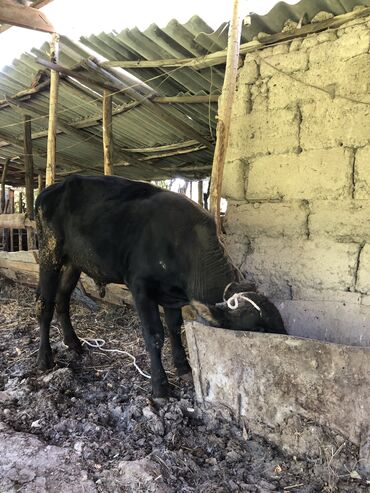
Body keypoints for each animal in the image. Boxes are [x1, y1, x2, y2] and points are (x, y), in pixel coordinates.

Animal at [35, 176, 286, 400]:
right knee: (44, 304)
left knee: (62, 300)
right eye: (259, 330)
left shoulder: (171, 296)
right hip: (50, 254)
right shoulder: (140, 288)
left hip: (73, 262)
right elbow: (154, 335)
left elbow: (174, 328)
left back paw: (74, 343)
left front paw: (184, 368)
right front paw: (160, 387)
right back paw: (44, 359)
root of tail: (53, 188)